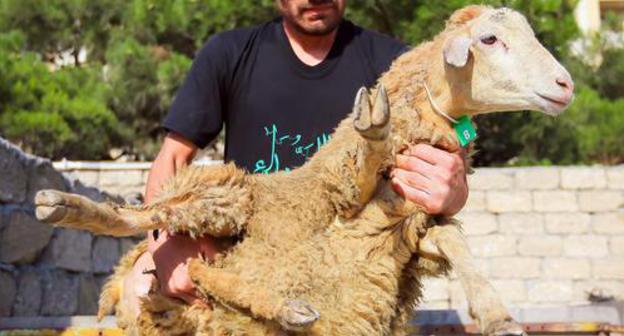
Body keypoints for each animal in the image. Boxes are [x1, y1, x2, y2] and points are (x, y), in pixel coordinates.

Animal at [34, 5, 572, 336]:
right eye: (490, 39)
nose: (565, 85)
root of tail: (121, 281)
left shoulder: (412, 236)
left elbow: (458, 245)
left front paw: (498, 316)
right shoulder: (341, 194)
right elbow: (362, 163)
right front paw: (374, 124)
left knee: (201, 269)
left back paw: (285, 308)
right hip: (224, 192)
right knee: (143, 221)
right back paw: (60, 204)